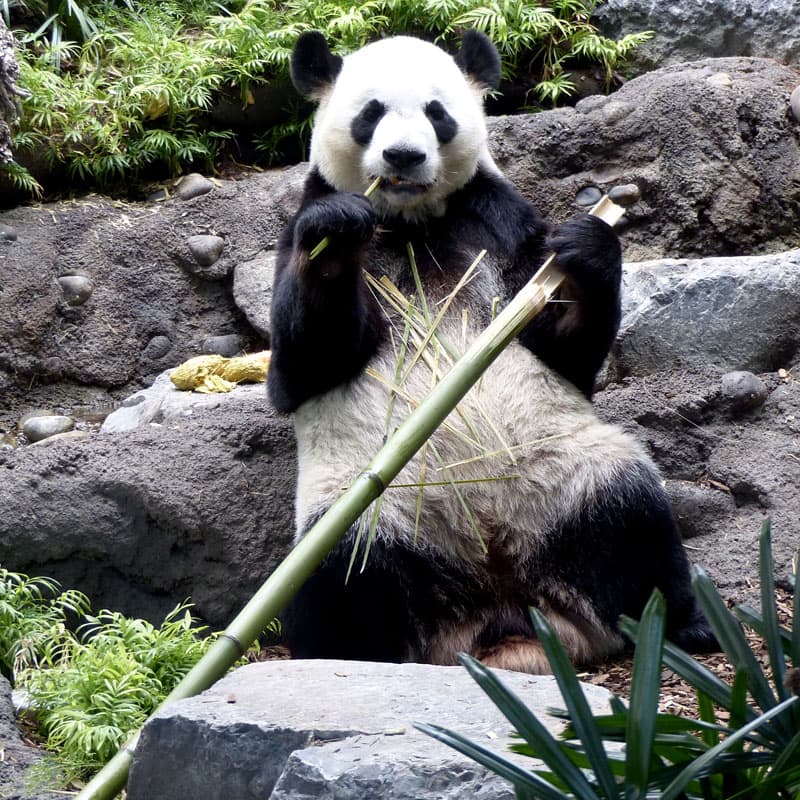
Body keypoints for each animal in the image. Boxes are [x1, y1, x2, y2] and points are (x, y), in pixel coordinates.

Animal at [268, 28, 712, 672]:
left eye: (437, 113)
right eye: (371, 114)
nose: (403, 157)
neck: (413, 221)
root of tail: (499, 608)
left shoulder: (498, 222)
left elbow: (563, 350)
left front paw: (587, 242)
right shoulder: (296, 236)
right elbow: (300, 368)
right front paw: (338, 234)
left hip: (567, 474)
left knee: (633, 522)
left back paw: (684, 626)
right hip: (366, 506)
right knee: (342, 573)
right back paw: (341, 659)